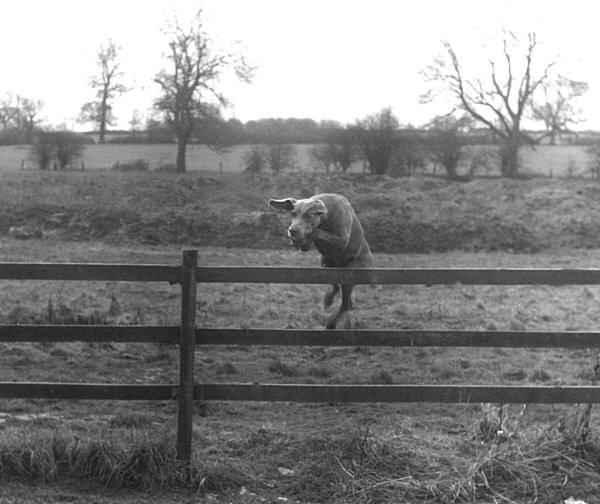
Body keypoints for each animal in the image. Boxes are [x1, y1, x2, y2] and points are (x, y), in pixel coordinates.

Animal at [270, 191, 372, 328]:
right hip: (326, 262)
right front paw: (298, 242)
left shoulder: (342, 239)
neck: (325, 219)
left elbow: (317, 232)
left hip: (351, 273)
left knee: (346, 304)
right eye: (293, 214)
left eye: (308, 215)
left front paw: (303, 239)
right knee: (335, 287)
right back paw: (327, 301)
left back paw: (331, 323)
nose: (292, 230)